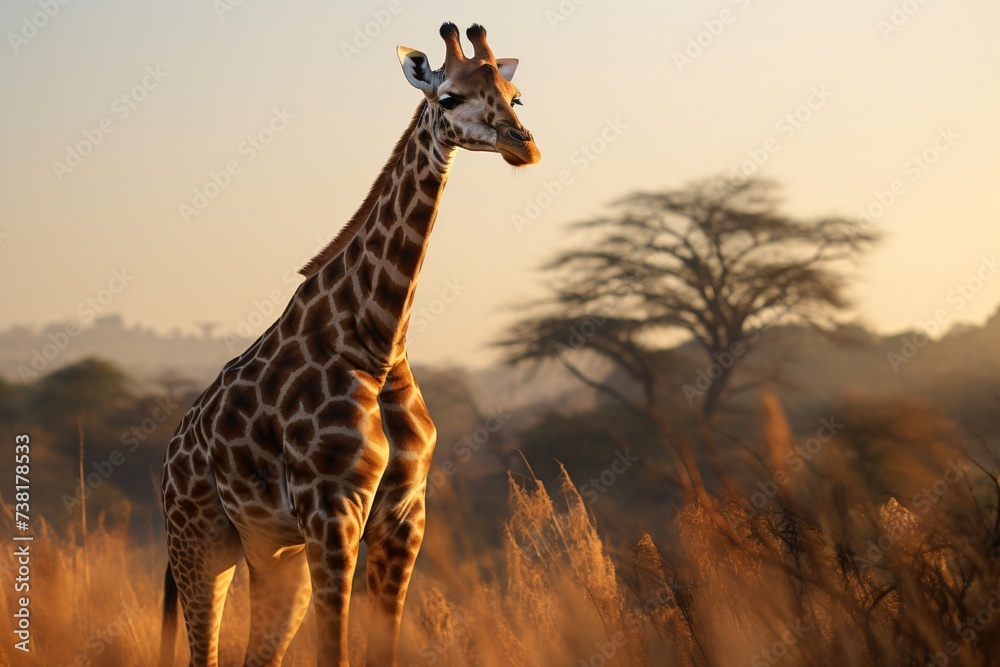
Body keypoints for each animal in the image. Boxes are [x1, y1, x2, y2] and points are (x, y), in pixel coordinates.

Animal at [159, 22, 539, 667]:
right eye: (448, 99)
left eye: (516, 97)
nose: (523, 145)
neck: (377, 341)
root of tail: (168, 459)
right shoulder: (332, 508)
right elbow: (333, 649)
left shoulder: (405, 513)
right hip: (198, 539)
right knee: (202, 651)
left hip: (269, 550)